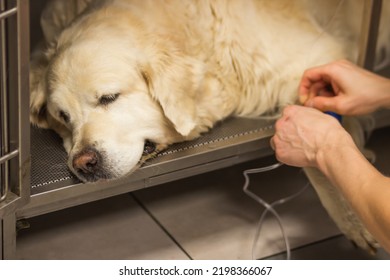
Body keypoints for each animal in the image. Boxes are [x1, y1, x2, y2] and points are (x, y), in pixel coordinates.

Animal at [31, 0, 390, 254]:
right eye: (64, 118)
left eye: (109, 97)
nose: (83, 163)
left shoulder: (319, 60)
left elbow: (318, 154)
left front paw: (353, 217)